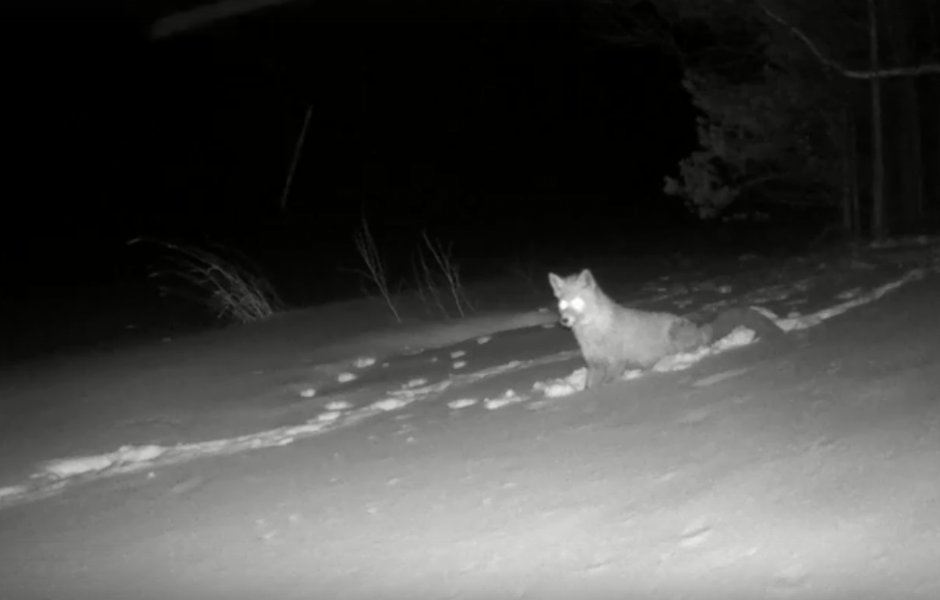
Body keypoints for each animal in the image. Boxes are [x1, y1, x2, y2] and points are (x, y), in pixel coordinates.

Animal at [548, 268, 784, 389]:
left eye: (577, 303)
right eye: (563, 304)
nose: (564, 321)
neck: (593, 332)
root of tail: (701, 329)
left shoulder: (616, 362)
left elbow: (607, 384)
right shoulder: (595, 363)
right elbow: (590, 387)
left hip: (676, 336)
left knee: (694, 351)